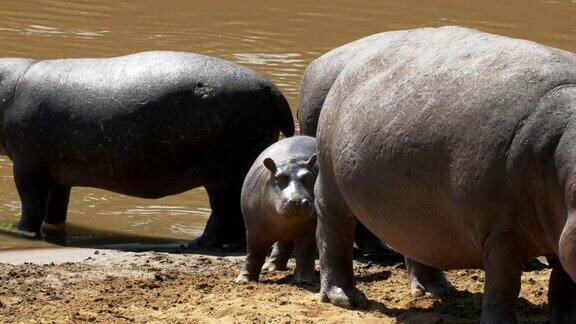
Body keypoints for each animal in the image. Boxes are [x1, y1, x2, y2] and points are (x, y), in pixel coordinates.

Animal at [0, 50, 294, 248]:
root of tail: (271, 89)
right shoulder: (58, 174)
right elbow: (55, 206)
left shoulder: (27, 167)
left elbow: (31, 203)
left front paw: (18, 231)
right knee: (237, 213)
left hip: (222, 175)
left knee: (224, 211)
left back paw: (197, 244)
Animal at [234, 135, 318, 282]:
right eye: (278, 177)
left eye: (310, 176)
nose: (298, 202)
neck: (291, 160)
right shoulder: (253, 231)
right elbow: (253, 254)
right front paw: (243, 280)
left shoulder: (308, 231)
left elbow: (306, 253)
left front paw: (304, 280)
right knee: (283, 245)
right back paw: (270, 268)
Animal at [316, 26, 576, 322]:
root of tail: (352, 60)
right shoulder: (502, 232)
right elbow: (504, 286)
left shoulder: (559, 233)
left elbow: (563, 284)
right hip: (331, 184)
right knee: (334, 233)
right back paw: (346, 299)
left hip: (415, 208)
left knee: (418, 242)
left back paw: (436, 290)